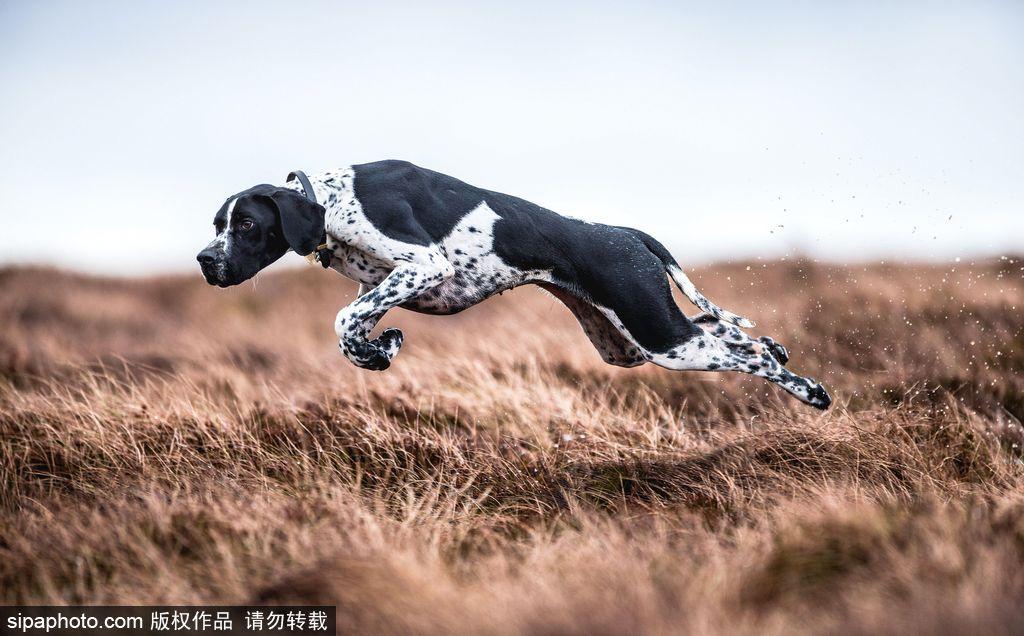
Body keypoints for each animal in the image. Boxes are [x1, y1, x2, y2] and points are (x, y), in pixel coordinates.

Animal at [199, 157, 831, 407]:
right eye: (215, 225)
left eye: (246, 224)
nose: (205, 260)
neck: (330, 200)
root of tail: (627, 233)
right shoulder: (384, 284)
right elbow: (353, 327)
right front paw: (380, 349)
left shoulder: (424, 265)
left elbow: (341, 320)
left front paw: (379, 348)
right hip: (627, 341)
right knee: (730, 333)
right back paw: (774, 345)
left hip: (659, 337)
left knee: (747, 355)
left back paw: (809, 390)